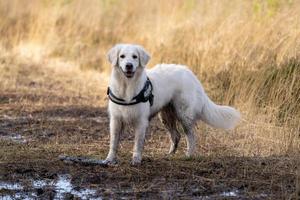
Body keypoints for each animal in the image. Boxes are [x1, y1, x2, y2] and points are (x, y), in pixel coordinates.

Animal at [104, 43, 240, 166]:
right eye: (122, 56)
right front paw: (109, 159)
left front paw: (136, 160)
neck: (127, 87)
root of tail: (191, 74)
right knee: (176, 135)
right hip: (166, 116)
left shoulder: (141, 121)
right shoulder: (116, 121)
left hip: (184, 115)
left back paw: (188, 155)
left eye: (135, 57)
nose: (129, 65)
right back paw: (170, 154)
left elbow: (137, 144)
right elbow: (113, 143)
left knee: (191, 136)